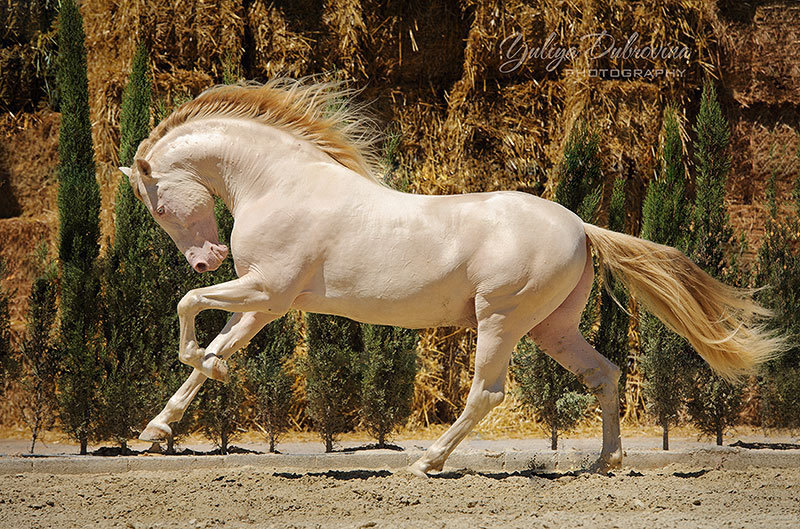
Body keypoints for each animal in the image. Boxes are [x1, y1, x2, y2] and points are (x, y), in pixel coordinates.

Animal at [122, 80, 780, 476]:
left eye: (157, 207)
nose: (206, 258)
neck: (280, 183)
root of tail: (579, 225)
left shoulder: (267, 290)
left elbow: (188, 307)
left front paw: (203, 371)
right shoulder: (263, 302)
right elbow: (213, 341)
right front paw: (156, 429)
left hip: (501, 319)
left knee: (486, 393)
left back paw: (427, 462)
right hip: (552, 328)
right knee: (604, 375)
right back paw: (604, 464)